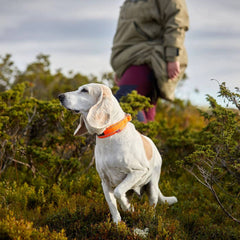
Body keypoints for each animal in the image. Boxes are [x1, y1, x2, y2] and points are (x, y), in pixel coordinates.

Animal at [59, 83, 177, 224]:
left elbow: (118, 192)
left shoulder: (137, 172)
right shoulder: (105, 182)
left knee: (152, 205)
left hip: (152, 186)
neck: (109, 135)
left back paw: (149, 218)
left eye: (84, 90)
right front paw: (117, 223)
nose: (60, 96)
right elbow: (112, 204)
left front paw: (127, 208)